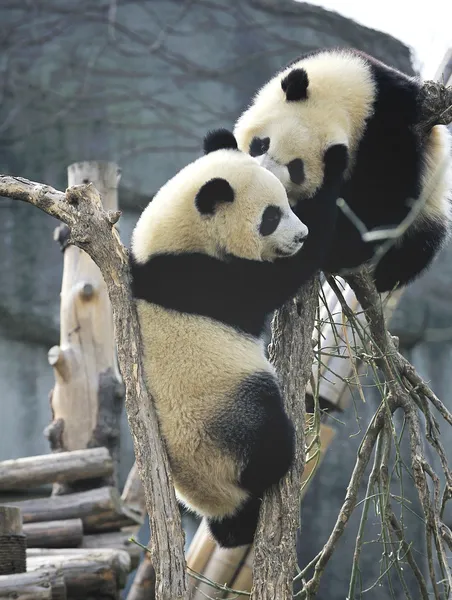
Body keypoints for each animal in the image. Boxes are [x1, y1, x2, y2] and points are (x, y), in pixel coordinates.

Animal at [129, 127, 348, 548]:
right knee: (270, 439)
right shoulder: (207, 280)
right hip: (228, 423)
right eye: (271, 216)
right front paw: (333, 178)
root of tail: (218, 501)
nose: (300, 234)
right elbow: (280, 278)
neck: (175, 239)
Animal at [235, 46, 450, 290]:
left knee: (420, 244)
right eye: (262, 144)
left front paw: (340, 250)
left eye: (296, 169)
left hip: (430, 202)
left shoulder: (392, 131)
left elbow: (384, 195)